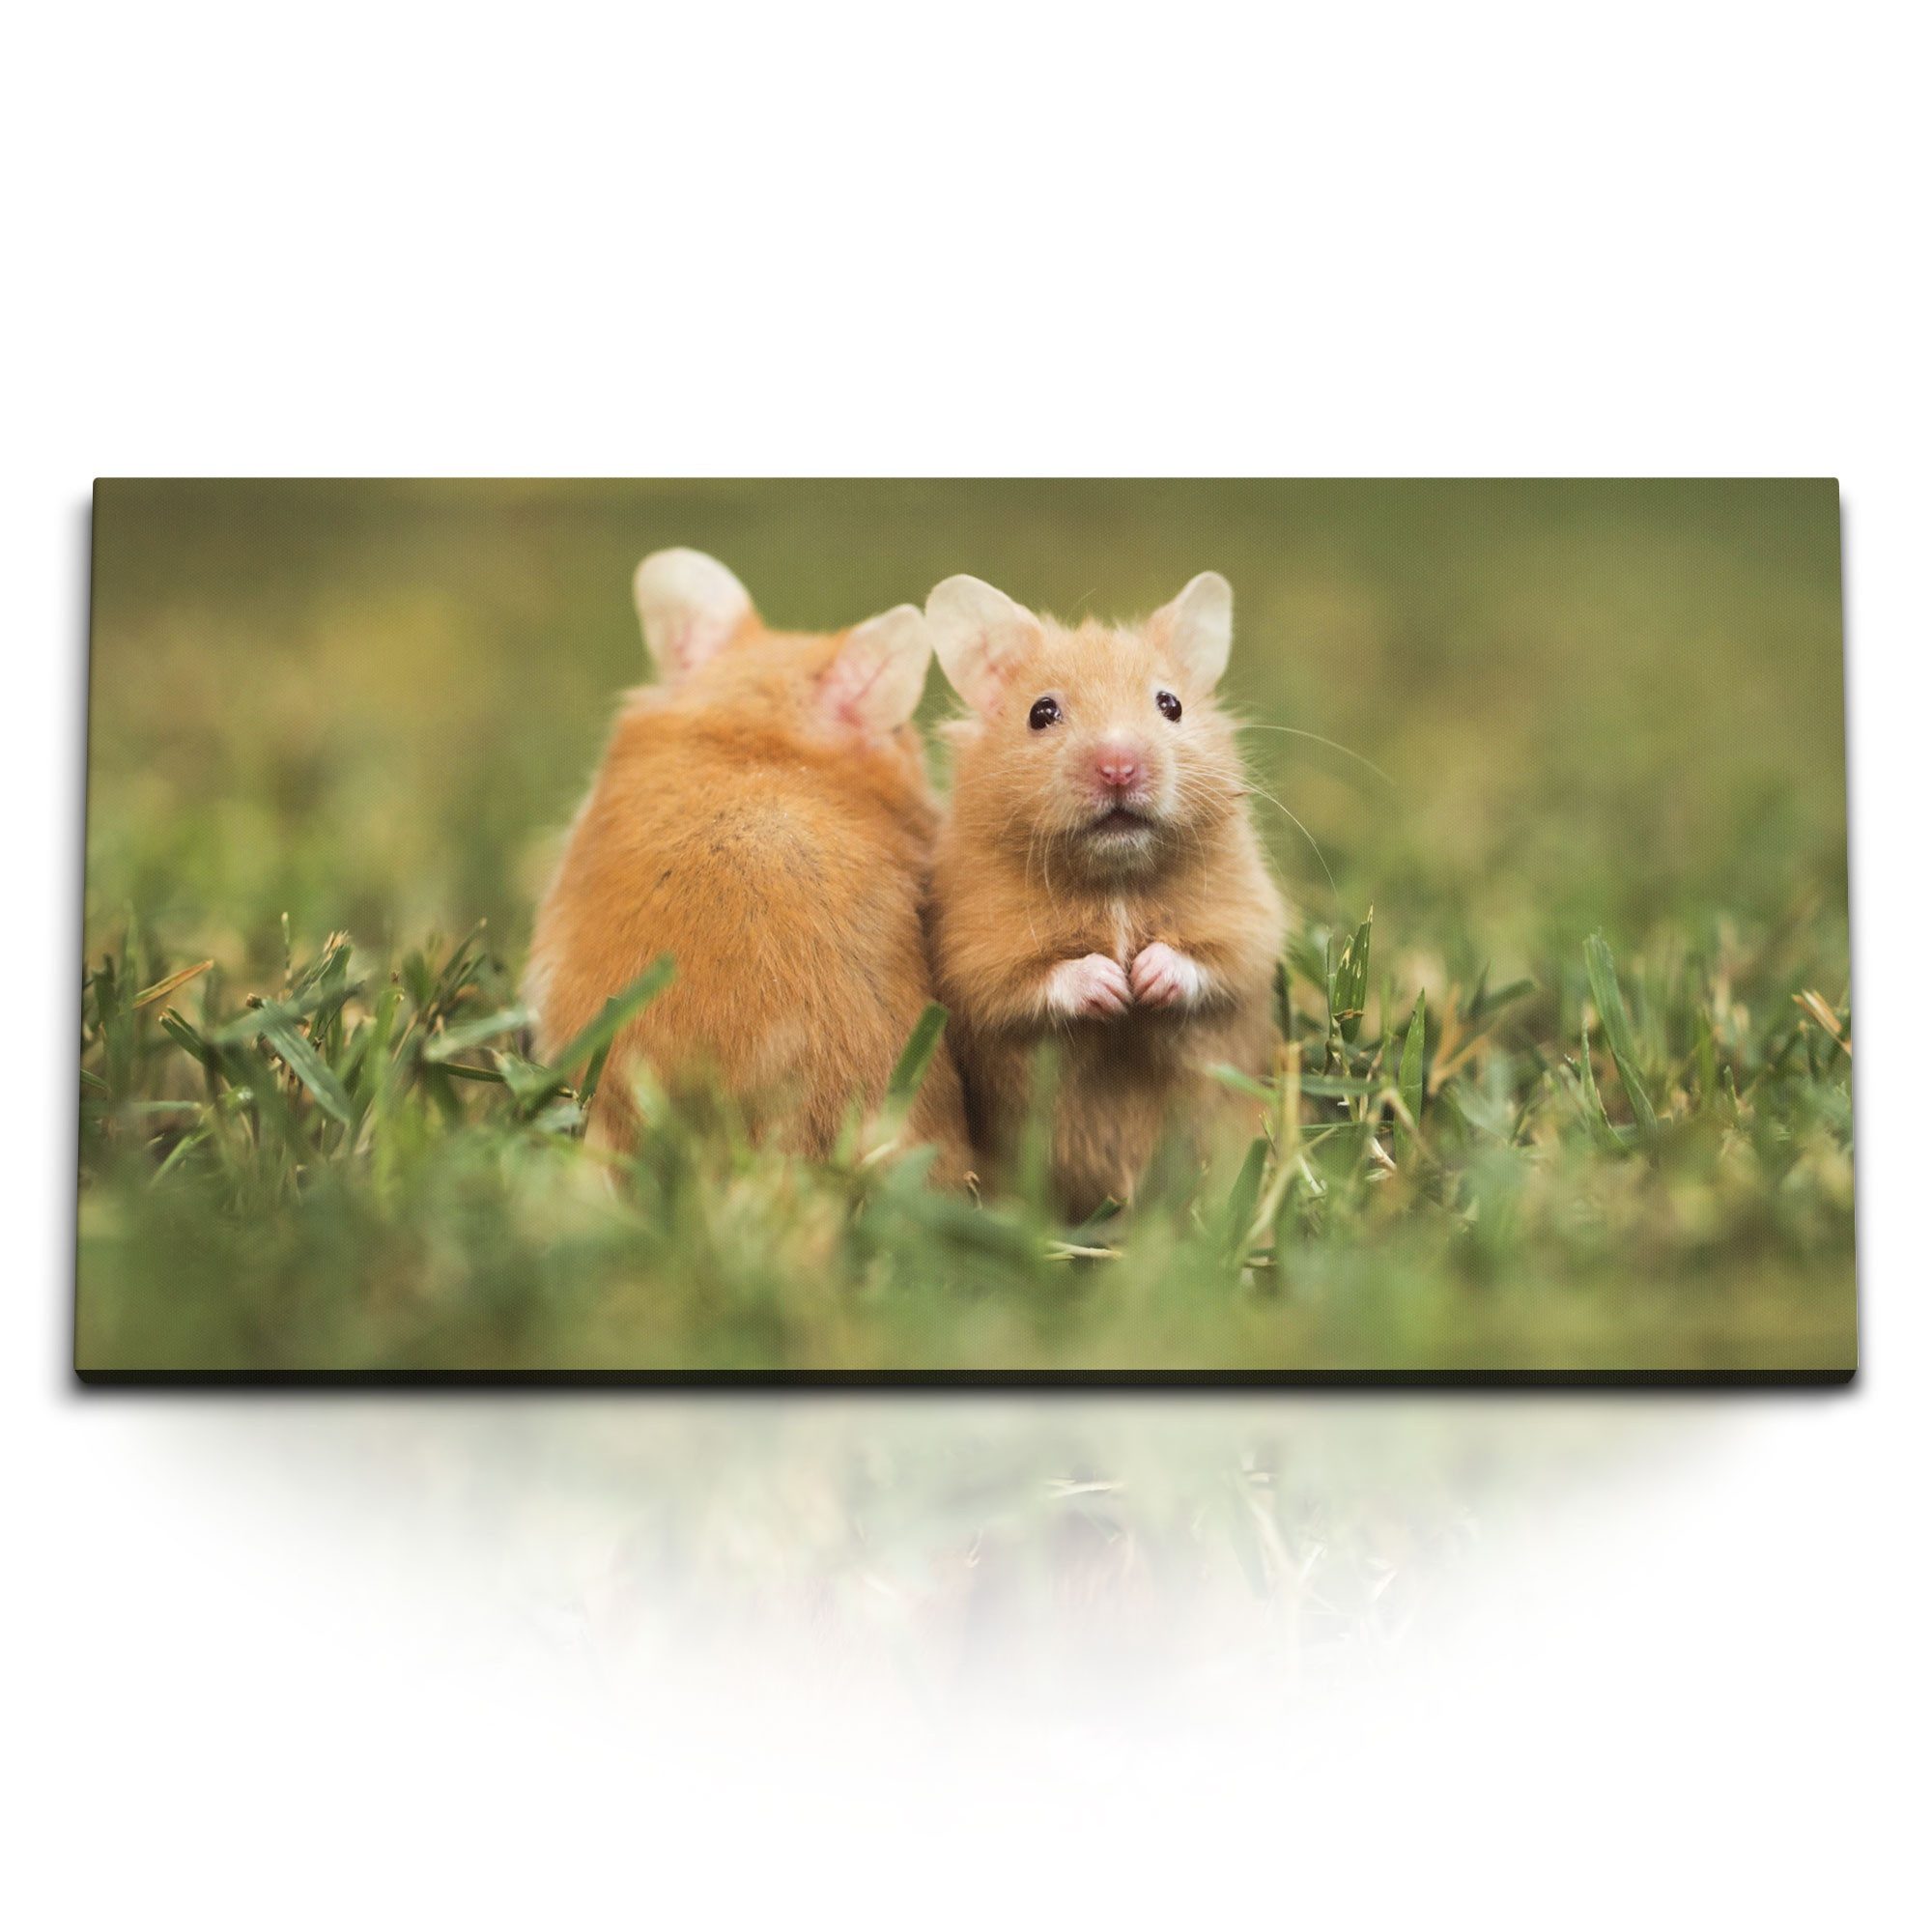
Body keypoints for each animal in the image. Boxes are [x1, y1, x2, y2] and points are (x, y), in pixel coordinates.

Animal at [925, 570, 1287, 1219]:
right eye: (1041, 712)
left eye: (1171, 705)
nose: (1119, 766)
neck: (1115, 878)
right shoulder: (972, 953)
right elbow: (1028, 983)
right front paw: (1114, 986)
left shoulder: (1248, 919)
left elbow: (1216, 962)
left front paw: (1145, 978)